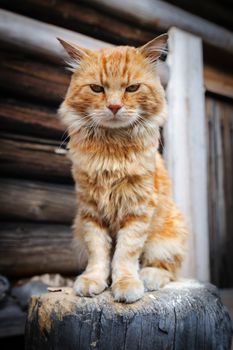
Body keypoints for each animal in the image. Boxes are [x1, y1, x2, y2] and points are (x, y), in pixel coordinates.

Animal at [58, 35, 187, 304]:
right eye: (97, 89)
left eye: (132, 88)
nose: (115, 106)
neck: (112, 152)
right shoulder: (90, 211)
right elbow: (99, 253)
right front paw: (93, 280)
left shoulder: (137, 209)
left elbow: (126, 253)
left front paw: (126, 283)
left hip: (168, 237)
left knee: (167, 267)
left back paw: (149, 277)